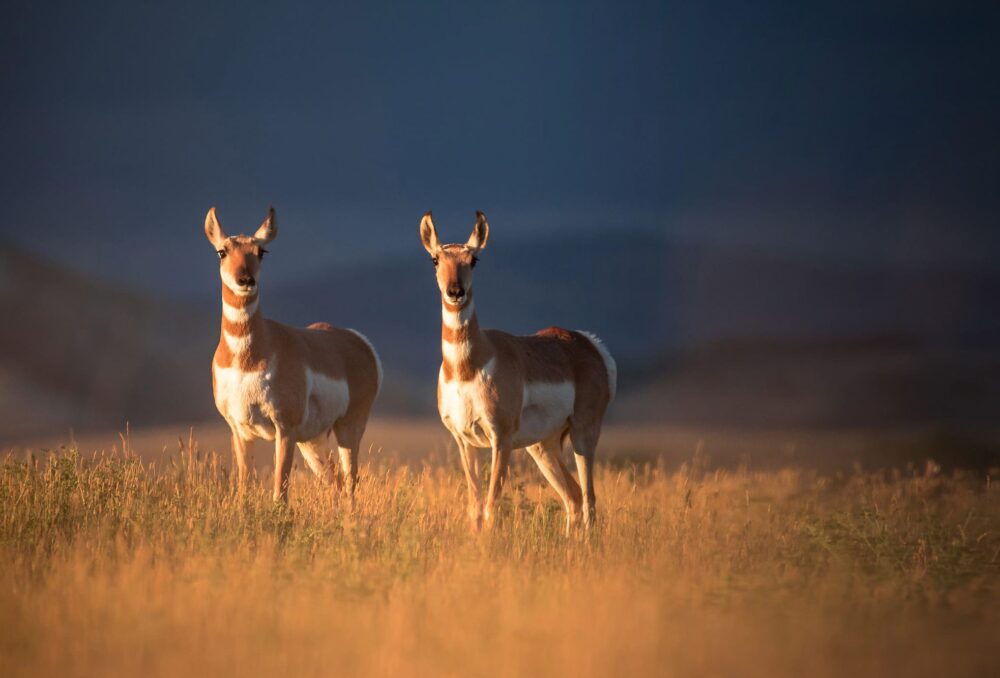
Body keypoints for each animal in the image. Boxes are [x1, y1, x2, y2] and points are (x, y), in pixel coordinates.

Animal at [205, 207, 380, 504]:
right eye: (222, 251)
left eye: (261, 251)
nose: (246, 280)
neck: (247, 360)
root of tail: (357, 340)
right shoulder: (240, 431)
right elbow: (242, 489)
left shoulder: (284, 429)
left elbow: (280, 493)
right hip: (312, 441)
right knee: (336, 481)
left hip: (348, 429)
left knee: (350, 484)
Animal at [416, 211, 616, 532]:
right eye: (435, 259)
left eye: (473, 259)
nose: (455, 292)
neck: (469, 368)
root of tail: (589, 343)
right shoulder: (465, 441)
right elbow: (475, 508)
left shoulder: (501, 439)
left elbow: (490, 507)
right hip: (543, 446)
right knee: (573, 496)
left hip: (583, 433)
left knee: (589, 499)